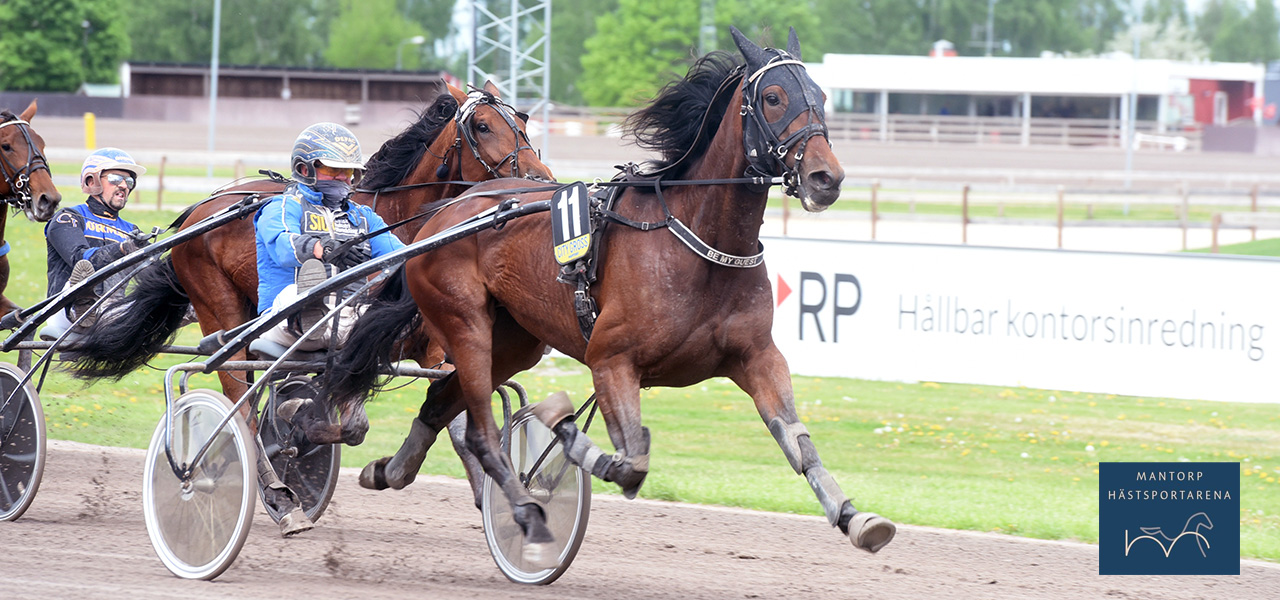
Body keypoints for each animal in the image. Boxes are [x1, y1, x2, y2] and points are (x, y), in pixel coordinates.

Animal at [325, 26, 896, 560]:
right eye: (774, 96)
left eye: (820, 95)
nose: (825, 177)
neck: (698, 243)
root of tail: (447, 215)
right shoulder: (611, 358)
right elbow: (631, 461)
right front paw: (562, 429)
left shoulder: (757, 356)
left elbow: (798, 442)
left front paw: (855, 516)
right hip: (464, 325)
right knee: (480, 432)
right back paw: (525, 513)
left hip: (514, 340)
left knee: (441, 403)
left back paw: (391, 470)